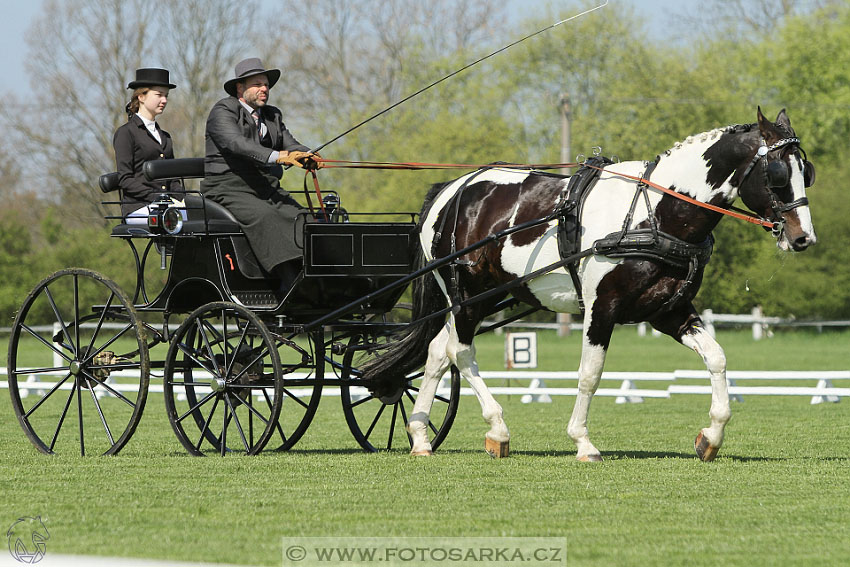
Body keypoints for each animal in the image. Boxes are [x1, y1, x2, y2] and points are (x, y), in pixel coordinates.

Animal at [364, 108, 816, 464]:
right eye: (777, 173)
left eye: (805, 172)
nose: (803, 238)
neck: (655, 214)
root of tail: (454, 189)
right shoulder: (603, 307)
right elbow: (590, 374)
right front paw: (583, 442)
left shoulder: (668, 311)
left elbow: (717, 358)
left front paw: (712, 436)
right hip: (467, 294)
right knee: (460, 351)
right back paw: (497, 430)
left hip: (477, 298)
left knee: (439, 350)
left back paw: (420, 436)